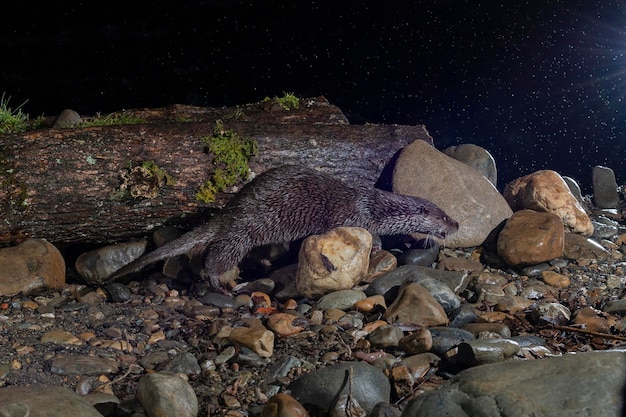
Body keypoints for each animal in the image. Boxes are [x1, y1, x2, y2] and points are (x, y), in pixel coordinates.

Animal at [109, 165, 456, 290]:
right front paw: (378, 248)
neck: (375, 206)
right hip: (244, 230)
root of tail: (229, 211)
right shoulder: (355, 218)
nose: (457, 223)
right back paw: (222, 284)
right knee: (217, 256)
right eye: (443, 217)